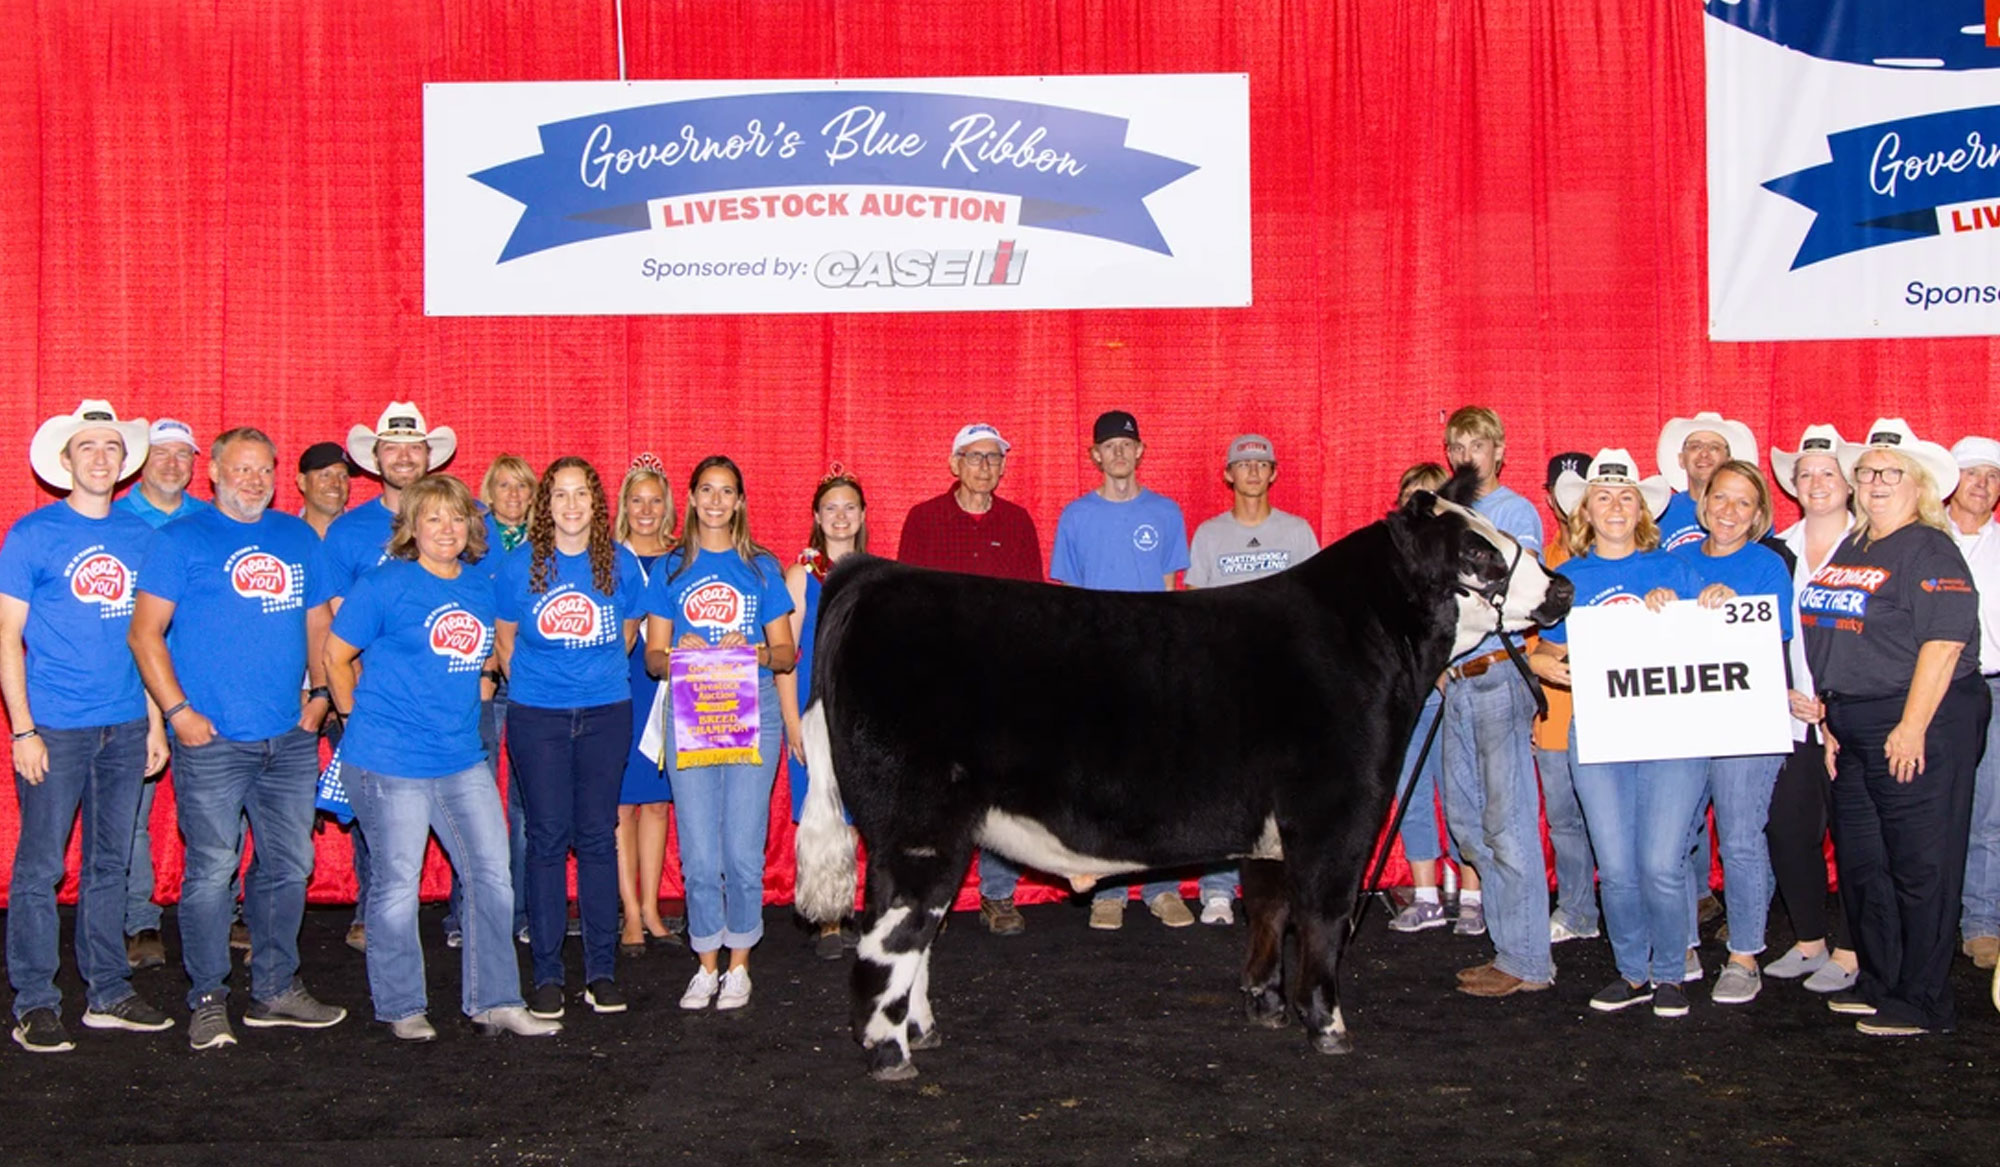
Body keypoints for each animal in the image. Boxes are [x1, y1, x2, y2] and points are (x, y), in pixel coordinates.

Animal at [788, 481, 1568, 1079]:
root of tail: (874, 574)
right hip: (917, 825)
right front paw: (1327, 1024)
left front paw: (1264, 1004)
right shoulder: (1335, 813)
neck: (1368, 641)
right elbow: (1322, 918)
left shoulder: (1271, 827)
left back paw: (921, 1030)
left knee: (916, 932)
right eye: (1478, 552)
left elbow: (1268, 910)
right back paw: (889, 1052)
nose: (1560, 584)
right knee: (891, 930)